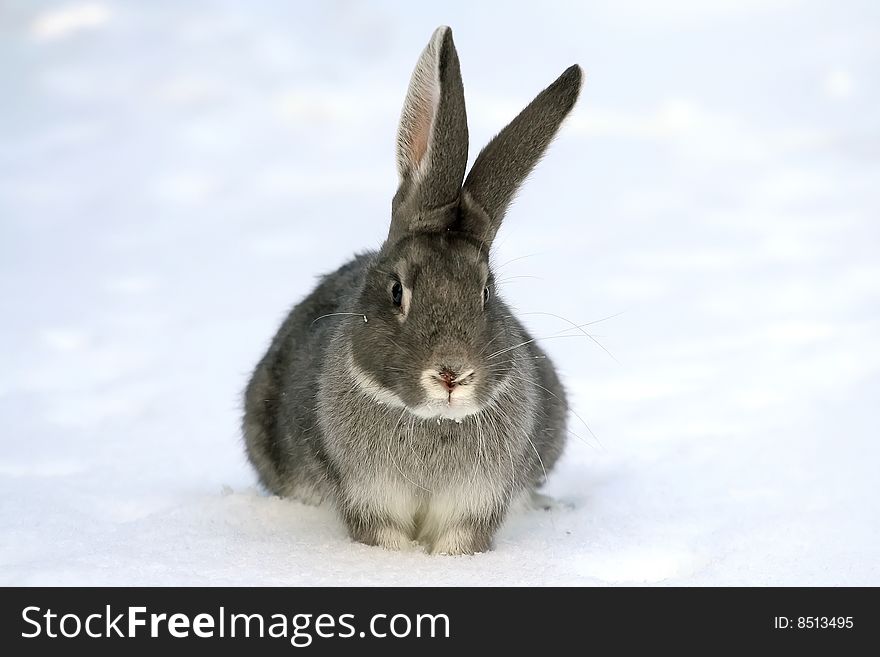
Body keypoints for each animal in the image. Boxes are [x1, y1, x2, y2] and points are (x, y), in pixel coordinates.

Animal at [244, 28, 580, 556]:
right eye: (396, 291)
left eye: (486, 292)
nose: (451, 374)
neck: (432, 420)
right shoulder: (367, 497)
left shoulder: (477, 502)